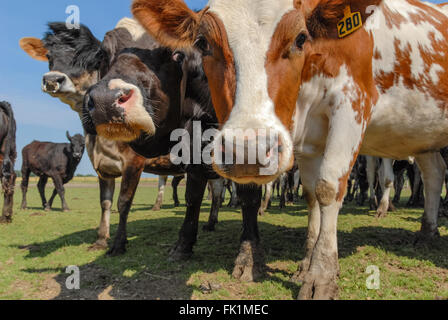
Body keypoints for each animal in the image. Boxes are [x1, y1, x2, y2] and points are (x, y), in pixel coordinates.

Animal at [134, 0, 448, 298]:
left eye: (300, 38)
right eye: (202, 43)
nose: (247, 151)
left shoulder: (352, 102)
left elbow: (328, 187)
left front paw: (321, 275)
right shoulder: (307, 139)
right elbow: (310, 195)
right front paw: (306, 263)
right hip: (424, 135)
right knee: (434, 173)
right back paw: (427, 231)